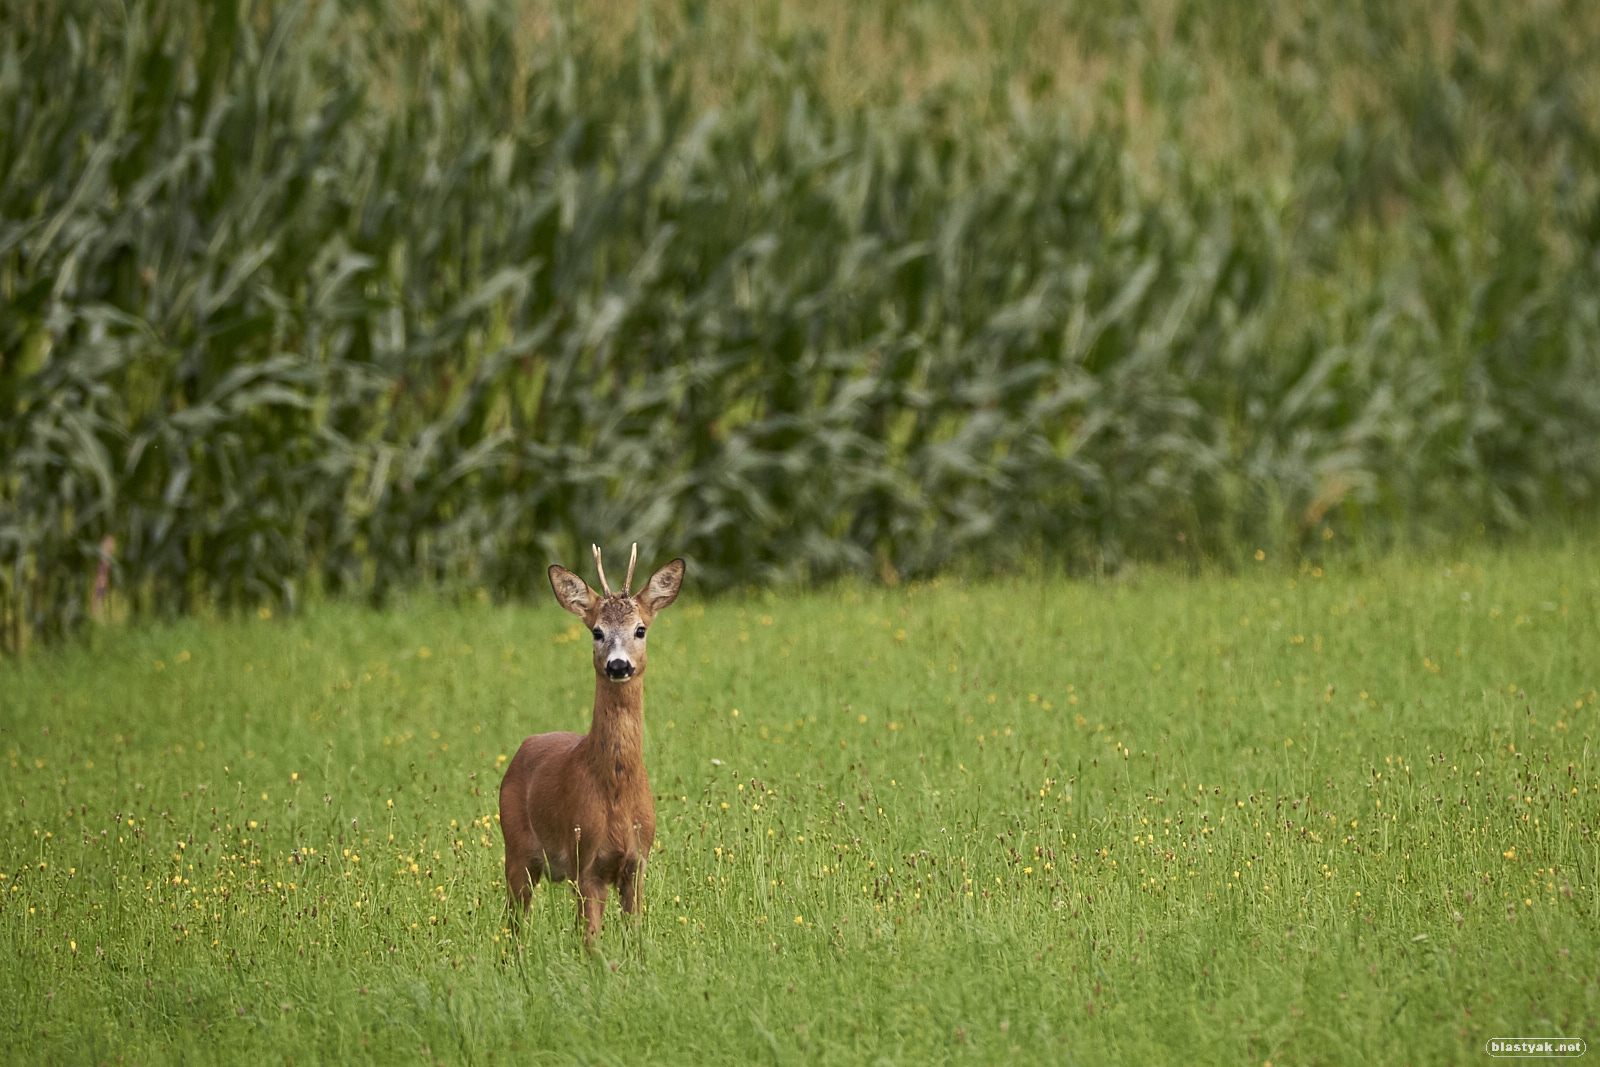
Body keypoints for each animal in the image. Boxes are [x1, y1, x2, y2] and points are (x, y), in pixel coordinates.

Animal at [492, 543, 681, 940]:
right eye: (596, 631)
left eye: (640, 629)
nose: (618, 665)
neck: (616, 794)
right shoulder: (585, 863)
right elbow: (590, 940)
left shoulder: (637, 863)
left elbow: (634, 937)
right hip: (514, 848)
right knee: (514, 925)